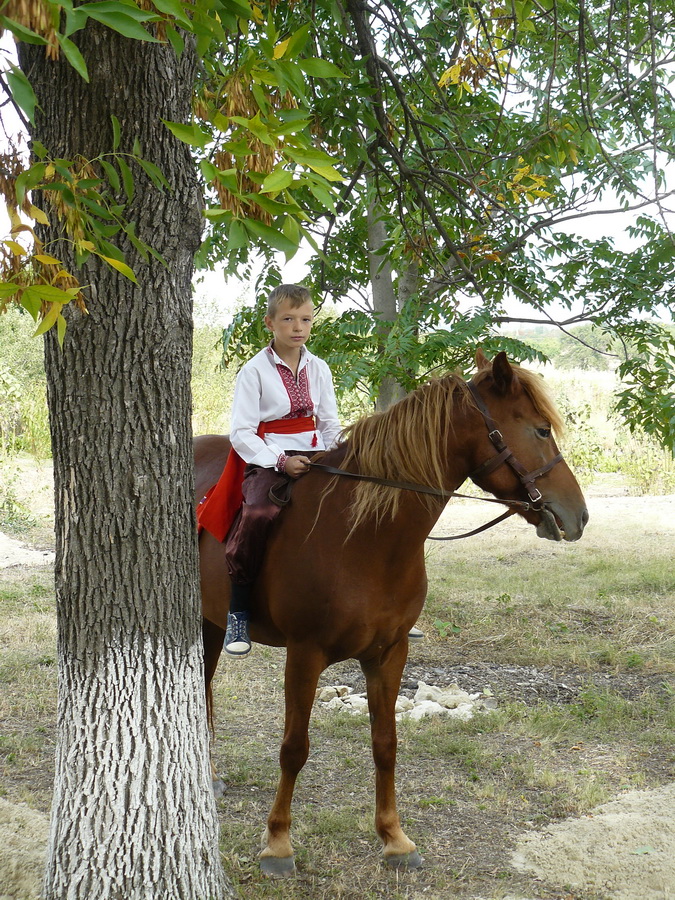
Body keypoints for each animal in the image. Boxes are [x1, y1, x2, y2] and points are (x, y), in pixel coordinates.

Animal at [194, 350, 588, 872]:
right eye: (541, 430)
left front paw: (395, 838)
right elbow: (294, 748)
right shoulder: (304, 655)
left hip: (211, 622)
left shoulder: (389, 653)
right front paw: (278, 843)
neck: (364, 534)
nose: (579, 515)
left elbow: (386, 743)